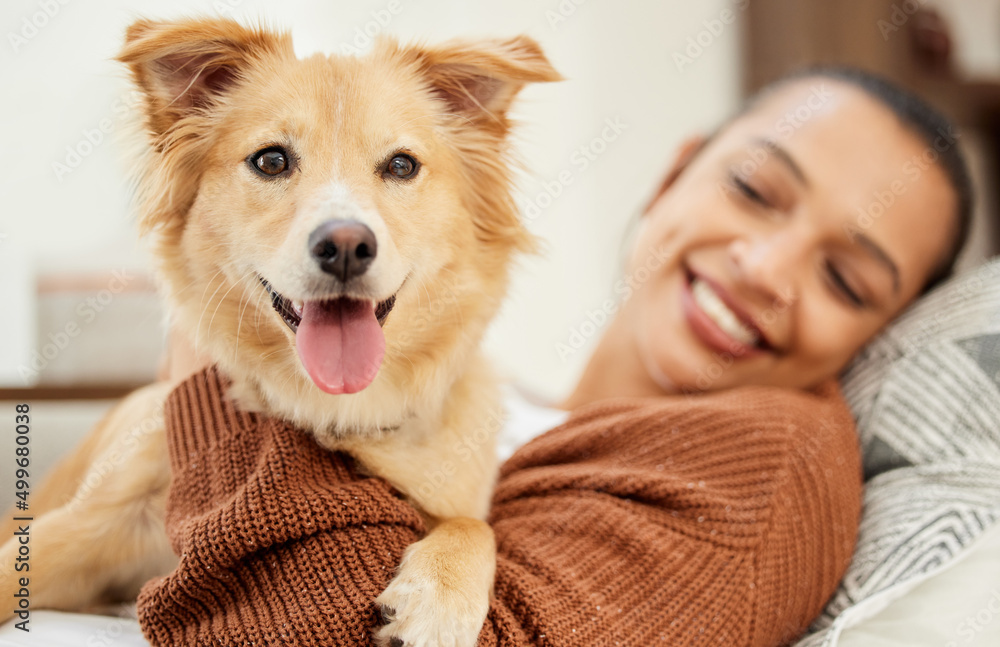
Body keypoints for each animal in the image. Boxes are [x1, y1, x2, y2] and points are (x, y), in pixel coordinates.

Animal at [0, 17, 564, 644]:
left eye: (401, 166)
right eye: (271, 161)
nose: (346, 246)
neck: (338, 406)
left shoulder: (457, 497)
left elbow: (473, 527)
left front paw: (436, 602)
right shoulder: (81, 527)